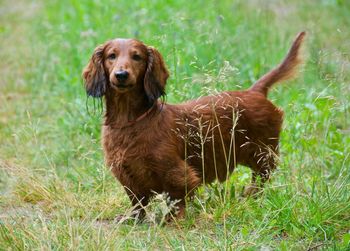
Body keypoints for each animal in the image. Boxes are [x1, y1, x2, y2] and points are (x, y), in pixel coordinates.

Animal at [83, 30, 304, 220]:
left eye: (137, 57)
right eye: (111, 56)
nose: (121, 75)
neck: (130, 122)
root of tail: (255, 92)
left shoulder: (176, 172)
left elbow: (178, 198)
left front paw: (173, 219)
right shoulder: (128, 176)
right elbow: (138, 202)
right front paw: (132, 218)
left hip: (262, 153)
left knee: (262, 177)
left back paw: (250, 196)